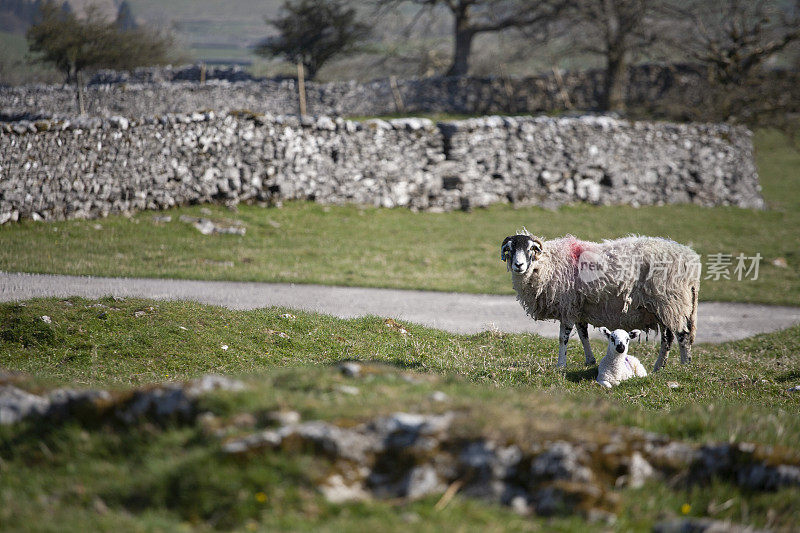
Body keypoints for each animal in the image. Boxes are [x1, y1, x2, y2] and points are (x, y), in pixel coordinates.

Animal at [500, 231, 700, 372]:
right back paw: (659, 367)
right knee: (668, 338)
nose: (518, 265)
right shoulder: (579, 307)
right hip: (664, 307)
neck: (548, 265)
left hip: (671, 301)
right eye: (510, 249)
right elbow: (583, 335)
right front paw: (590, 360)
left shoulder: (567, 306)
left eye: (530, 249)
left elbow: (563, 338)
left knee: (682, 335)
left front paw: (560, 365)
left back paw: (685, 366)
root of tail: (691, 260)